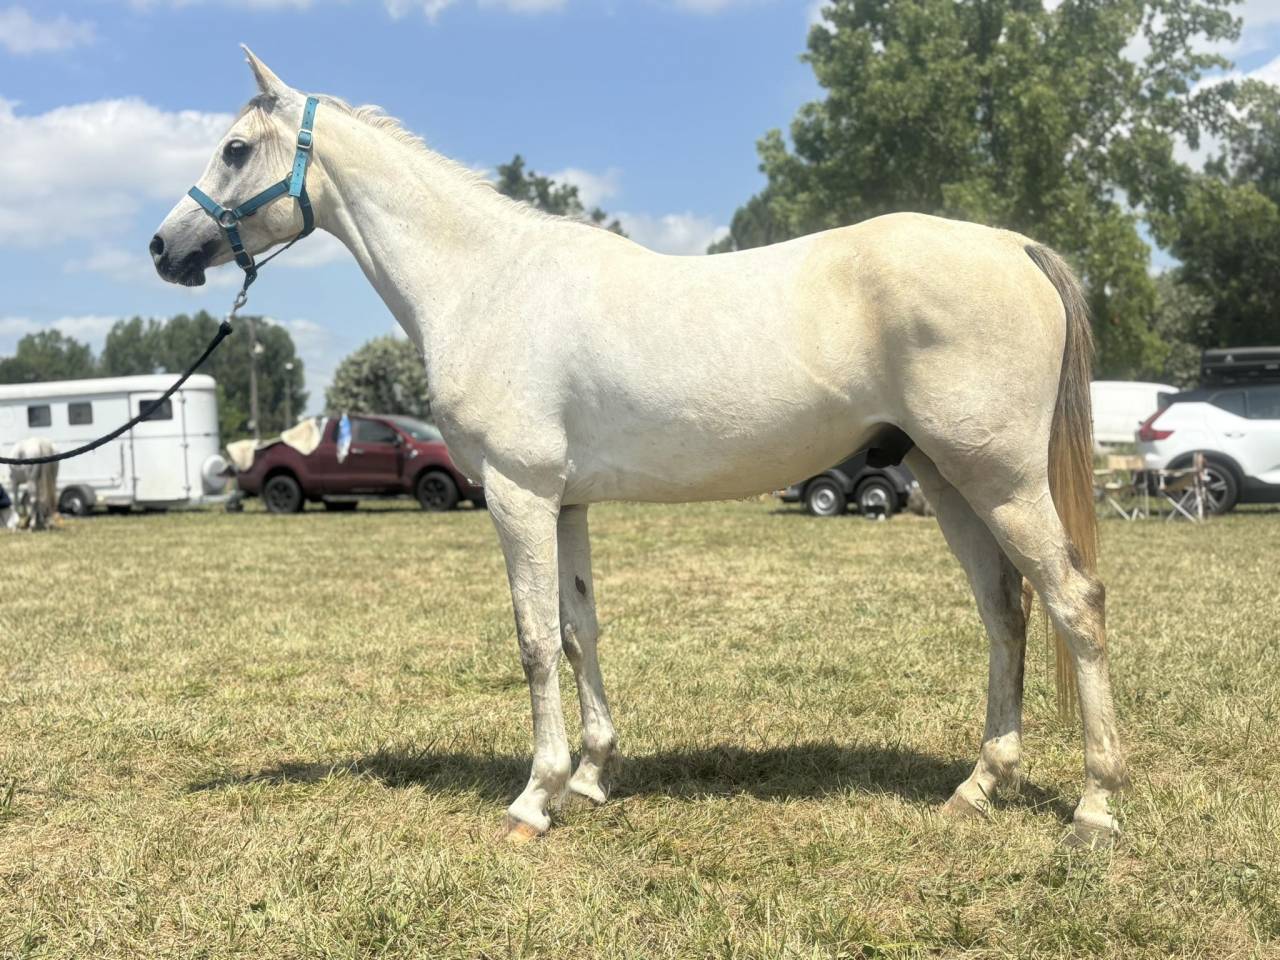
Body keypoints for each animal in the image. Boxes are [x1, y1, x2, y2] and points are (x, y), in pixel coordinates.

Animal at [151, 49, 1126, 846]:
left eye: (234, 149)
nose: (163, 247)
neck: (484, 280)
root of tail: (1013, 245)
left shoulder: (517, 495)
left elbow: (533, 639)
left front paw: (533, 799)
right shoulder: (567, 501)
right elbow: (580, 630)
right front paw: (589, 778)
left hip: (1000, 480)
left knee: (1073, 602)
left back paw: (1093, 807)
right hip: (949, 480)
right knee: (1006, 612)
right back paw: (979, 787)